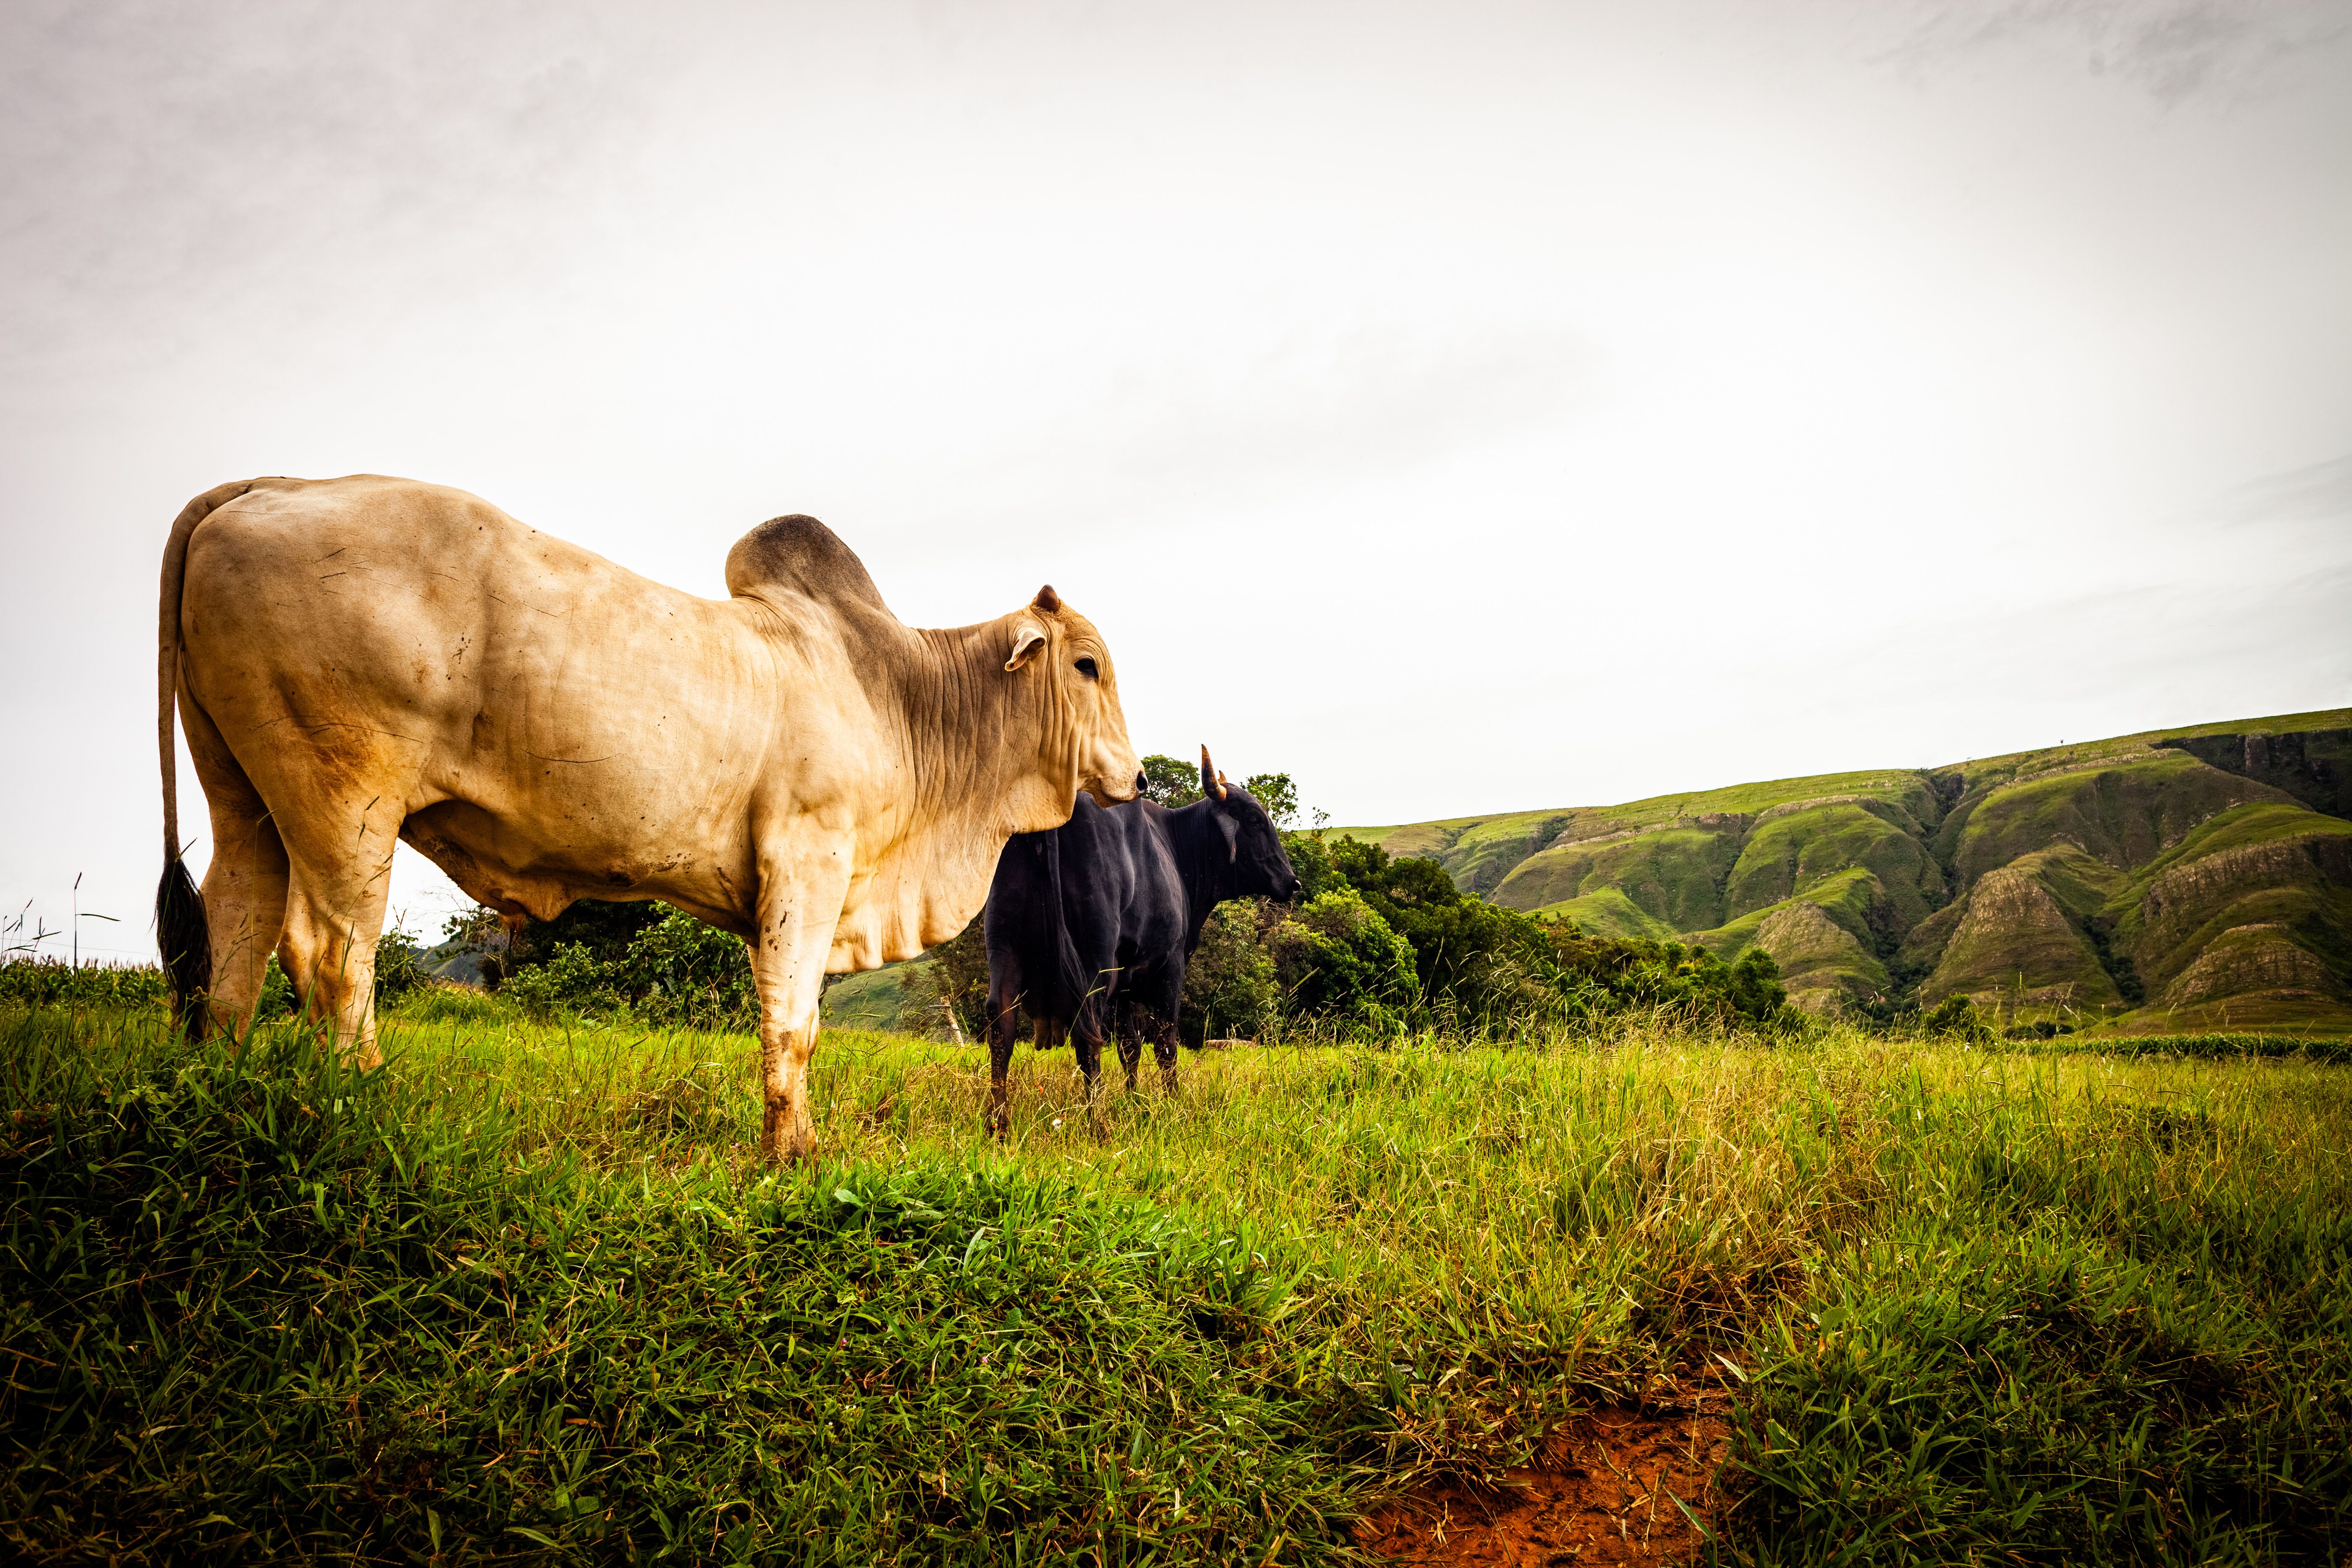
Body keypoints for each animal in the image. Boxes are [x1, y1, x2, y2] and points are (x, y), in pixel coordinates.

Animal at [154, 474, 1139, 1162]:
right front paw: (792, 1156)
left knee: (234, 933)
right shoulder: (808, 859)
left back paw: (214, 1088)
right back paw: (365, 1102)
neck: (899, 697)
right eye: (1087, 663)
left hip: (245, 795)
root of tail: (268, 486)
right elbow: (794, 1023)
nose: (1132, 776)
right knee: (331, 954)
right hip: (343, 796)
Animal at [981, 746, 1300, 1133]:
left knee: (1002, 1024)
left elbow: (1130, 1048)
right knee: (1087, 1034)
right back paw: (1098, 1125)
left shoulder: (1124, 985)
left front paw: (1135, 1102)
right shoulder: (1169, 968)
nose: (1293, 882)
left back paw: (998, 1125)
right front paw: (1172, 1104)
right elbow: (1166, 1043)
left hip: (1005, 946)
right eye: (1254, 819)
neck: (1175, 847)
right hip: (1093, 959)